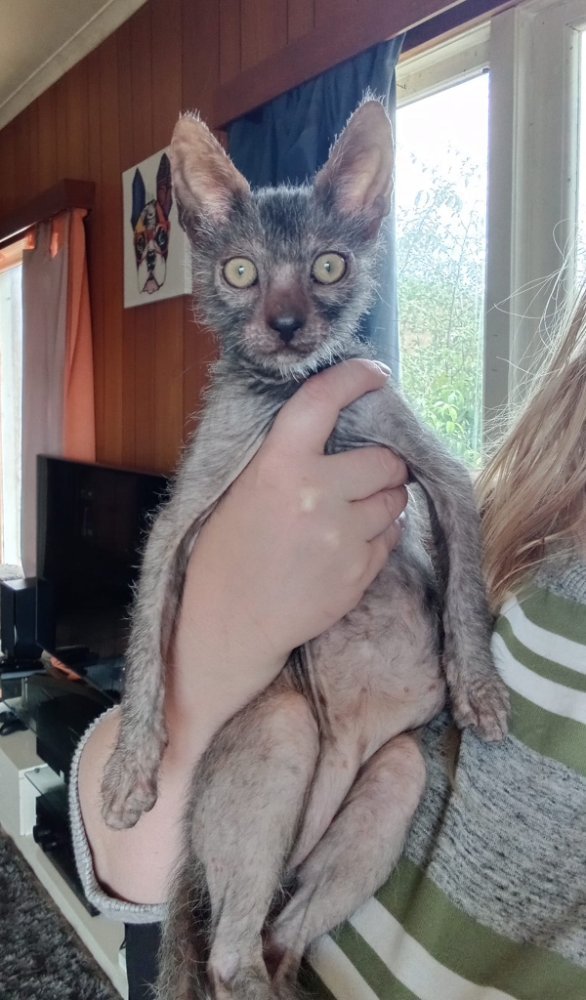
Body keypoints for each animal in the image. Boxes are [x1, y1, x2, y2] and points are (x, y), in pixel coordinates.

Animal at [101, 100, 509, 999]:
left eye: (328, 266)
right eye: (241, 272)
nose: (287, 325)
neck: (290, 393)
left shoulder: (439, 472)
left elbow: (465, 590)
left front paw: (480, 689)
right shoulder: (178, 521)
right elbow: (144, 642)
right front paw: (130, 768)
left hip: (394, 778)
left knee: (279, 933)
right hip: (285, 724)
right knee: (228, 955)